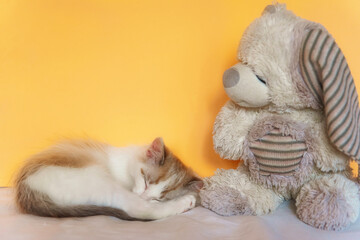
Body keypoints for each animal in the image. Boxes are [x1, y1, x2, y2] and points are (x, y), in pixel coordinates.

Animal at [14, 138, 204, 220]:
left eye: (159, 197)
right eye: (145, 180)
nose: (144, 196)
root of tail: (26, 192)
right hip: (95, 178)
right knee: (139, 209)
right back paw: (186, 201)